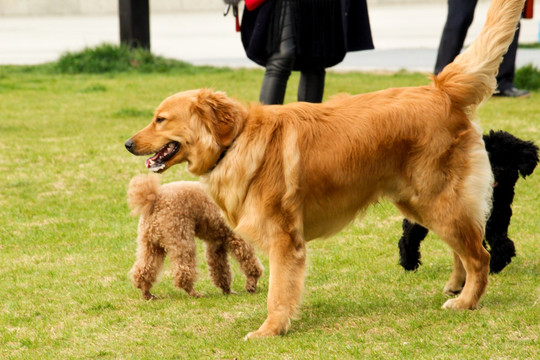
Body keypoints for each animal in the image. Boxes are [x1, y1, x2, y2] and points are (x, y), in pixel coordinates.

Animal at [398, 131, 536, 274]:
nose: (499, 171)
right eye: (489, 158)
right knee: (409, 235)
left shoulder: (498, 218)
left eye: (508, 158)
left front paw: (495, 263)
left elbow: (502, 243)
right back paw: (409, 263)